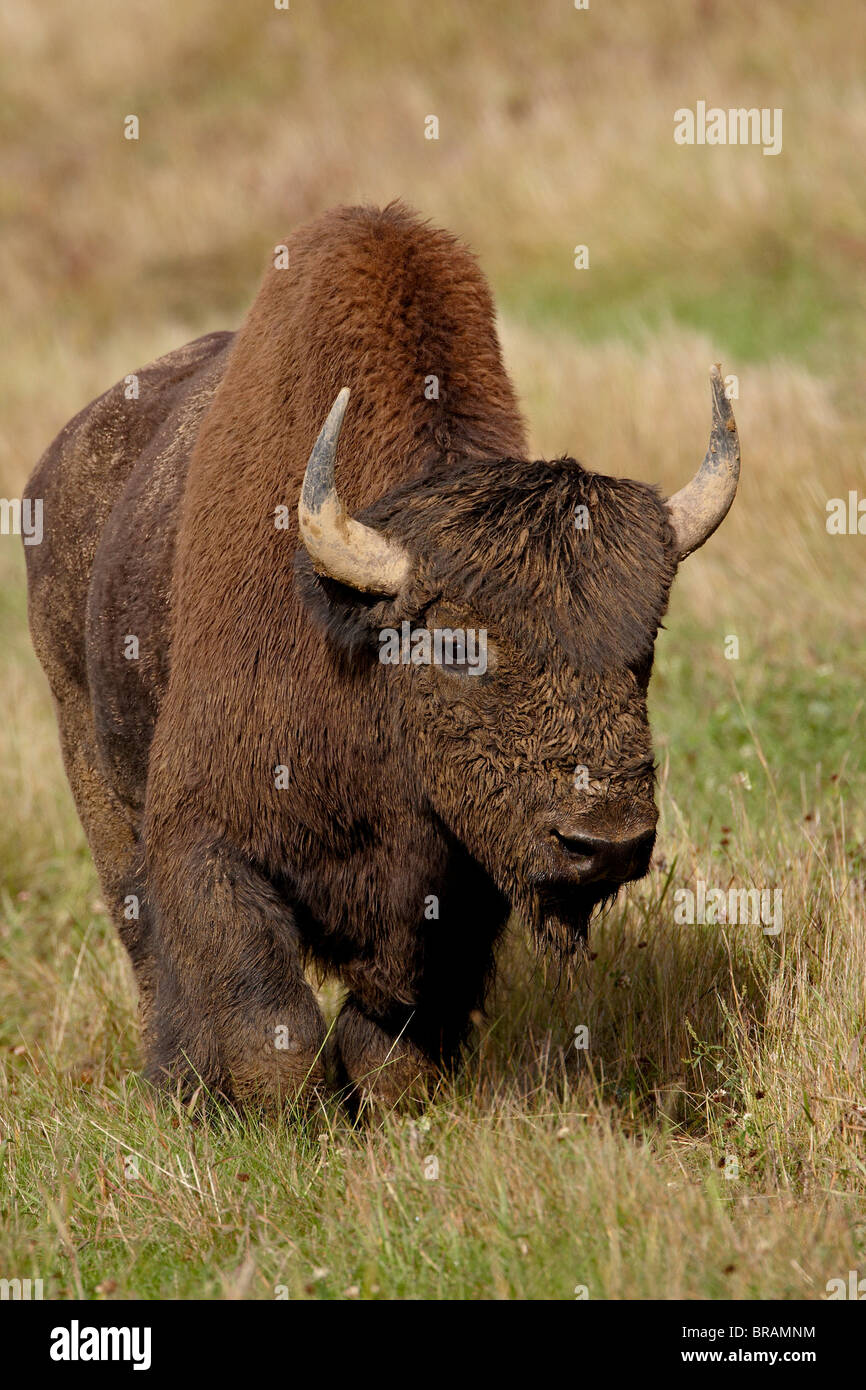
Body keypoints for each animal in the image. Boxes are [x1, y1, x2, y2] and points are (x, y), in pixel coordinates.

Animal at [23, 201, 739, 1106]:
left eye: (644, 645)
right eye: (459, 647)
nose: (605, 843)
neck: (364, 649)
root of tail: (59, 464)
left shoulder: (460, 890)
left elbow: (395, 1034)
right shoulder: (207, 839)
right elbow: (270, 1026)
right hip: (89, 757)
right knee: (146, 943)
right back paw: (176, 1085)